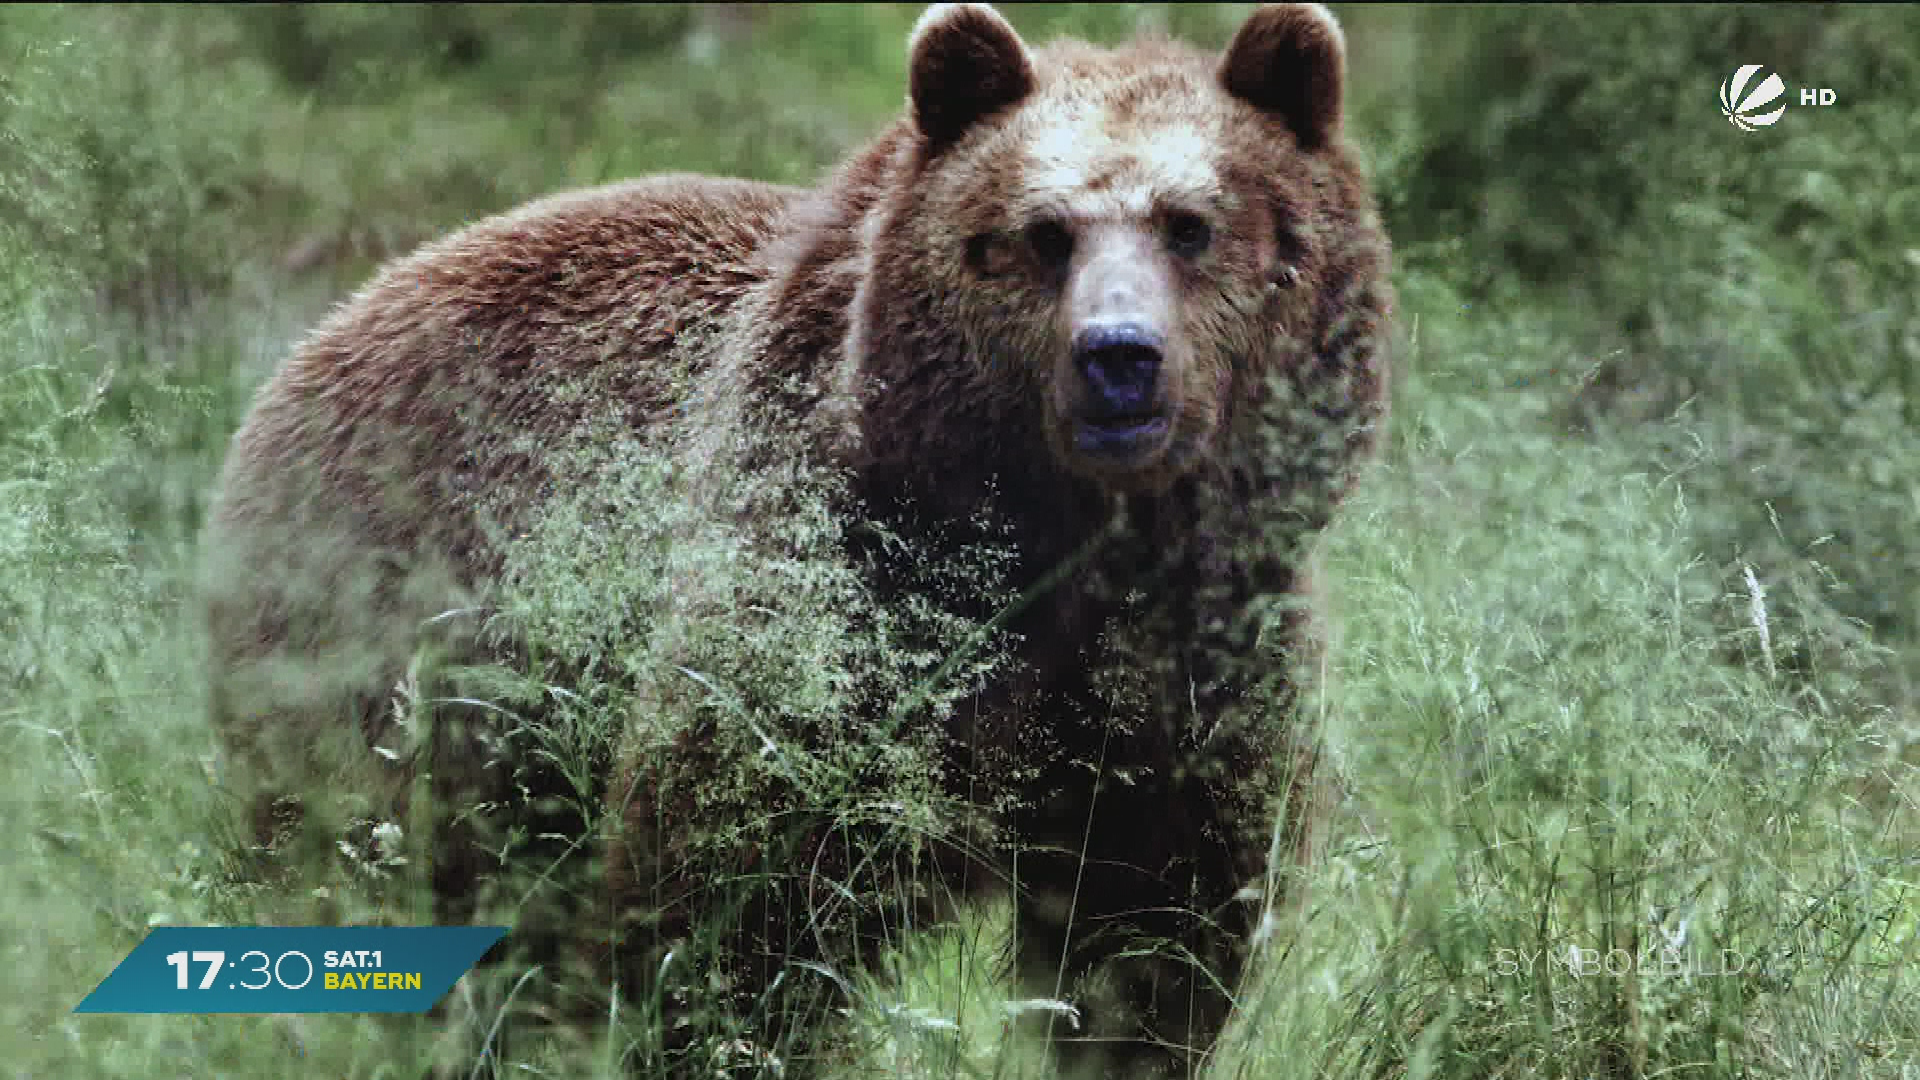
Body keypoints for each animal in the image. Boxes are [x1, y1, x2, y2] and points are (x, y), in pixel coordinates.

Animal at [200, 4, 1392, 1078]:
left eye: (1192, 223)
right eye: (1041, 233)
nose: (1118, 357)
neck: (1063, 547)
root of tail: (329, 328)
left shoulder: (1194, 662)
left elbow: (1153, 937)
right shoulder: (839, 609)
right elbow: (739, 902)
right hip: (399, 646)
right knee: (363, 860)